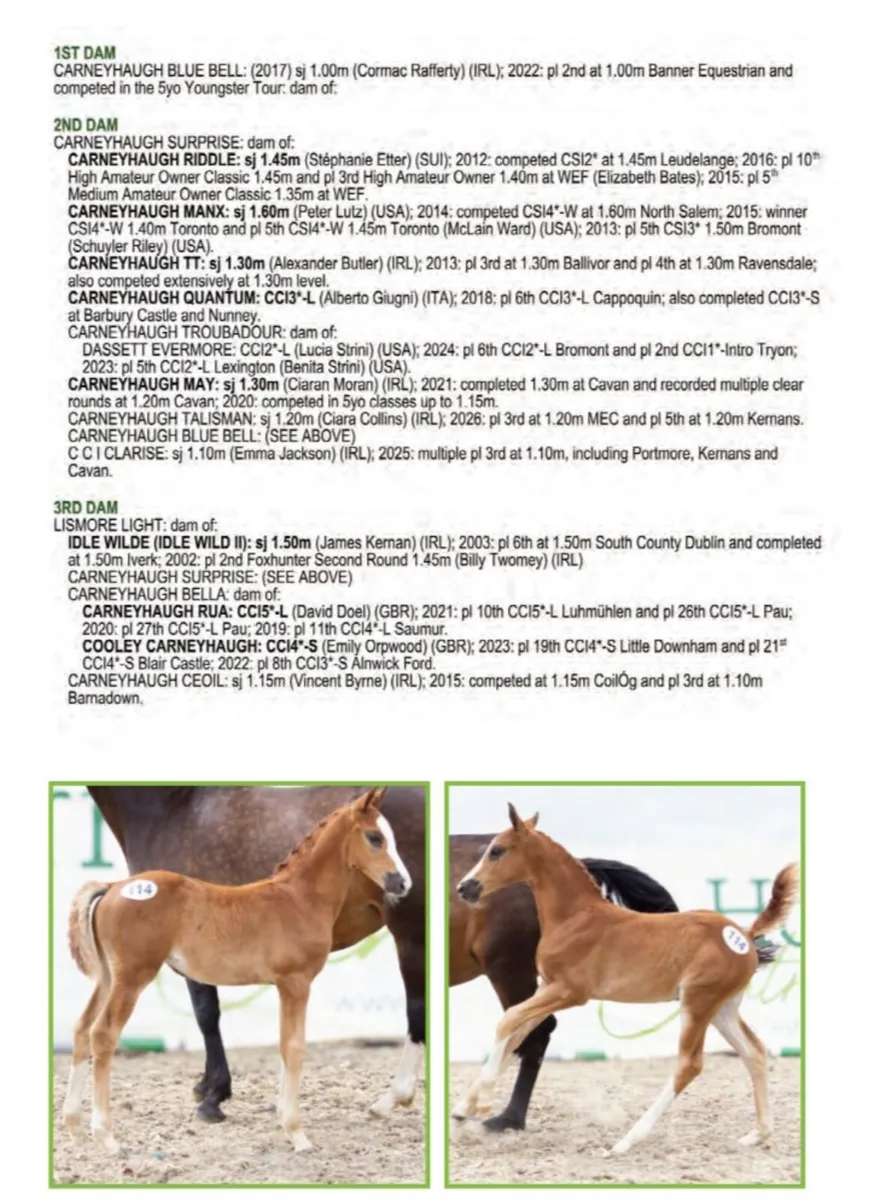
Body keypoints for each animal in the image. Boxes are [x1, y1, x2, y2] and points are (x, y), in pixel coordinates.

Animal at [64, 788, 410, 1155]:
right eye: (375, 837)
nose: (402, 883)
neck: (298, 898)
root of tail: (113, 887)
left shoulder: (285, 985)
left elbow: (285, 1046)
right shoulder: (295, 982)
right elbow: (294, 1048)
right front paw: (297, 1134)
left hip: (107, 977)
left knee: (82, 1028)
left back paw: (74, 1125)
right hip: (131, 977)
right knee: (103, 1034)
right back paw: (105, 1135)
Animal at [449, 834, 678, 1132]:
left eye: (496, 853)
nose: (464, 888)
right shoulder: (552, 983)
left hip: (508, 969)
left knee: (534, 1030)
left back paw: (507, 1118)